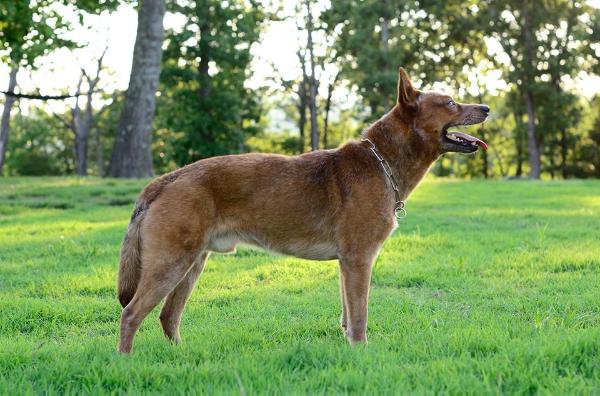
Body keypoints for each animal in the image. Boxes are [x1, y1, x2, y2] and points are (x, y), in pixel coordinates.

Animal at [116, 67, 488, 352]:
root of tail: (164, 180)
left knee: (168, 316)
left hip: (191, 265)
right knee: (131, 315)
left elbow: (347, 315)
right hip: (171, 265)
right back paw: (126, 362)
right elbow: (360, 316)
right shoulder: (359, 260)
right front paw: (362, 352)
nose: (486, 107)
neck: (382, 160)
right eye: (450, 102)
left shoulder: (347, 264)